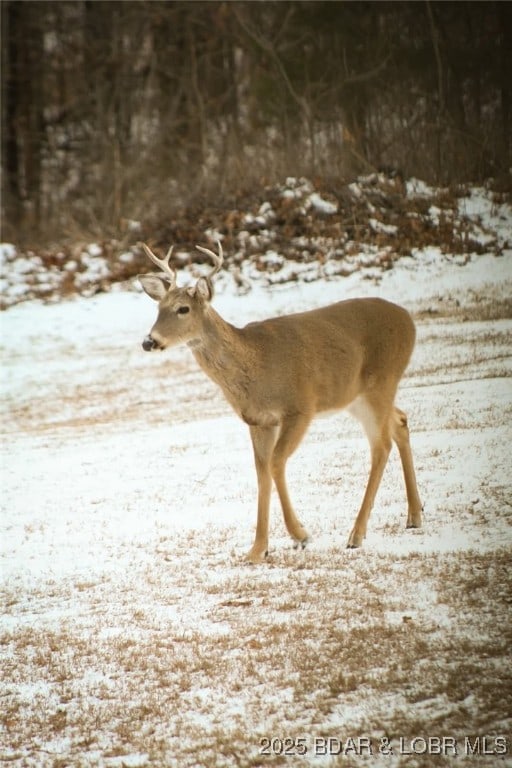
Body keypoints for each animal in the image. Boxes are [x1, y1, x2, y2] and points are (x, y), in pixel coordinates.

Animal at [138, 242, 422, 564]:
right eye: (158, 309)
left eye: (182, 309)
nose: (149, 341)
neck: (255, 366)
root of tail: (409, 320)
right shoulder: (258, 420)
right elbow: (261, 473)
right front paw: (257, 549)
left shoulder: (300, 407)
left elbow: (276, 463)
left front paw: (300, 535)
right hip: (357, 396)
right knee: (400, 421)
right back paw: (414, 515)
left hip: (382, 381)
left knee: (380, 445)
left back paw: (357, 534)